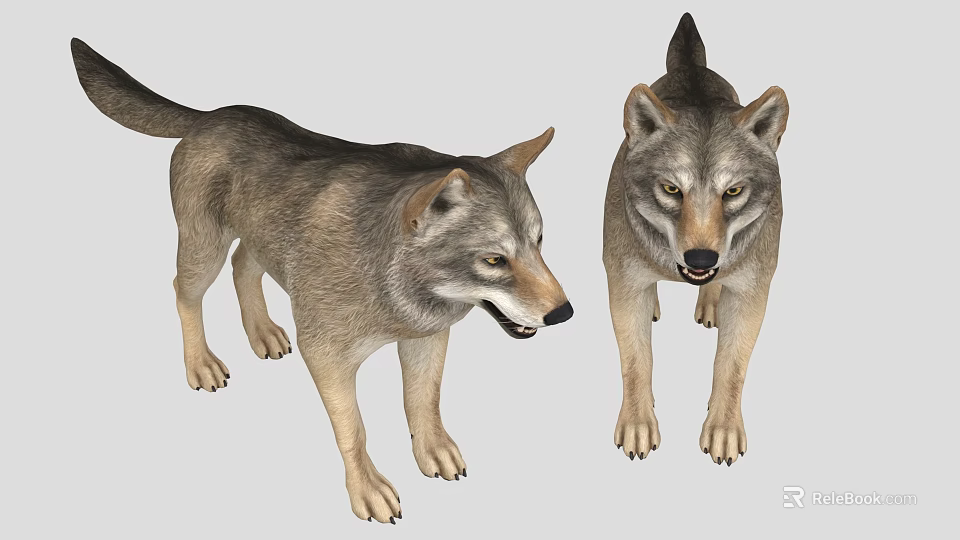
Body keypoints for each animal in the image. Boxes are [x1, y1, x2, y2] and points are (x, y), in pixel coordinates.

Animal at [70, 39, 573, 522]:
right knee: (184, 291)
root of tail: (212, 116)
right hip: (203, 250)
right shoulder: (327, 356)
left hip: (262, 239)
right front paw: (367, 491)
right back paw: (201, 363)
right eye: (494, 259)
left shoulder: (427, 338)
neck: (395, 281)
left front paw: (433, 450)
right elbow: (354, 429)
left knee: (244, 265)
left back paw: (263, 332)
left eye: (539, 242)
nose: (565, 314)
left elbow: (423, 401)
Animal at [602, 13, 788, 466]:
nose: (701, 258)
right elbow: (636, 361)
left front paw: (723, 431)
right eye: (672, 189)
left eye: (733, 191)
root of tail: (692, 67)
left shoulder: (753, 292)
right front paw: (638, 426)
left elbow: (731, 367)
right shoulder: (622, 284)